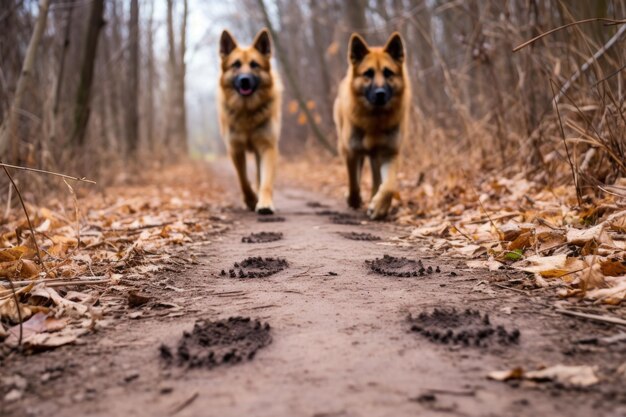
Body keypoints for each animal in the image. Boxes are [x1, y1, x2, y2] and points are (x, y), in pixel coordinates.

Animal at [217, 28, 280, 214]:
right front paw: (251, 200)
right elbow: (243, 179)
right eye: (236, 65)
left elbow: (265, 180)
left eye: (254, 65)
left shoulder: (267, 146)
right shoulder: (235, 149)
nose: (244, 79)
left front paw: (264, 202)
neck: (247, 112)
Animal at [332, 31, 410, 219]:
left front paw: (379, 206)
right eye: (368, 73)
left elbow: (389, 186)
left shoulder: (390, 153)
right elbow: (353, 182)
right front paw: (354, 200)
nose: (380, 93)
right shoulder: (351, 152)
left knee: (377, 179)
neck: (375, 120)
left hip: (376, 156)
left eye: (388, 73)